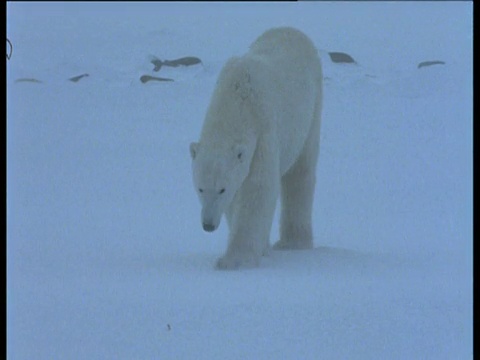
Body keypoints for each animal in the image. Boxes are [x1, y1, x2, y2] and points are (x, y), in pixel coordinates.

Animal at [188, 26, 322, 268]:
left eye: (221, 189)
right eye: (200, 188)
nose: (208, 225)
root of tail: (290, 29)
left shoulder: (263, 131)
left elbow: (258, 189)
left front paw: (234, 260)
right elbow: (239, 195)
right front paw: (257, 249)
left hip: (311, 107)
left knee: (300, 171)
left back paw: (293, 242)